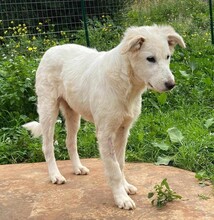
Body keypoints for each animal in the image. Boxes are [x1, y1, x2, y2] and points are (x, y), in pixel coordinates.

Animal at [22, 25, 185, 210]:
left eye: (167, 57)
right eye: (150, 59)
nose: (171, 84)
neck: (126, 84)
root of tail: (52, 49)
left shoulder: (123, 130)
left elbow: (120, 163)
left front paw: (125, 187)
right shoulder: (105, 133)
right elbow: (113, 168)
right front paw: (121, 198)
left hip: (73, 114)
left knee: (70, 141)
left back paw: (78, 167)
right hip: (48, 109)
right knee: (47, 146)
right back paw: (55, 175)